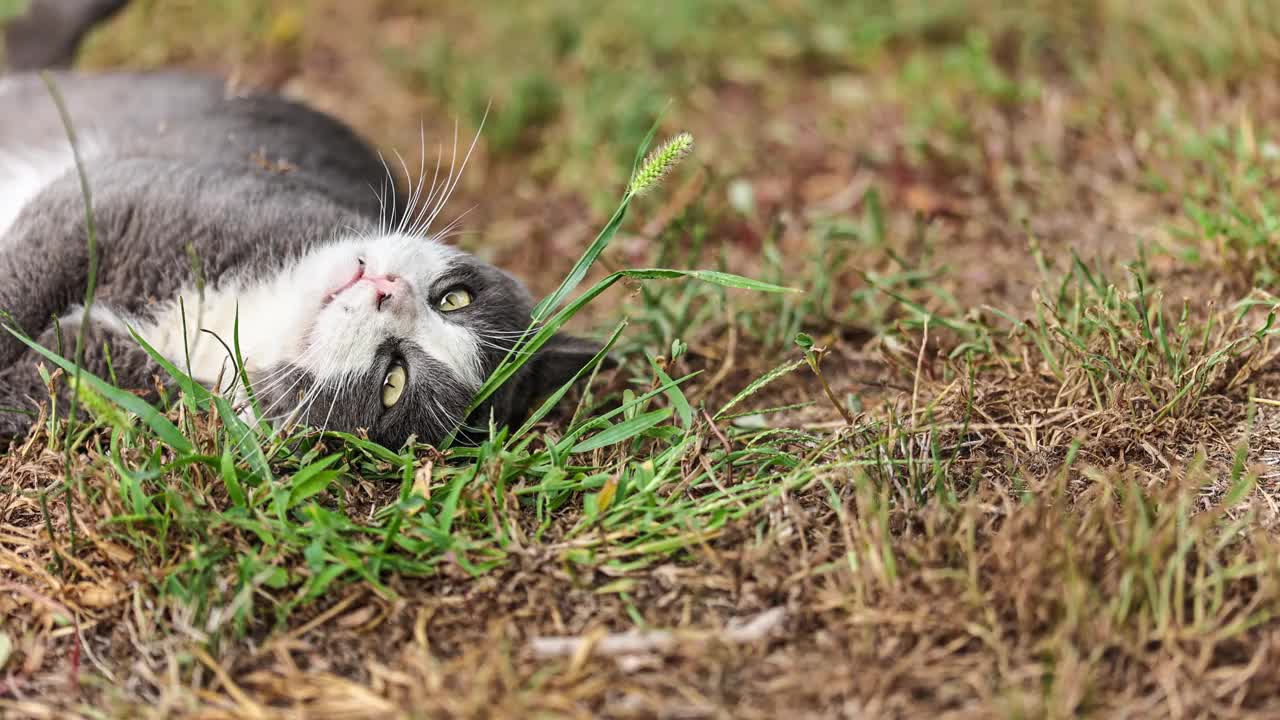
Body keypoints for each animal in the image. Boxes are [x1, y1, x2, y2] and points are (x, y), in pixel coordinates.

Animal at [0, 2, 601, 445]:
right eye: (456, 298)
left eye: (393, 382)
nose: (389, 290)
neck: (253, 314)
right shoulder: (117, 201)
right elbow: (24, 283)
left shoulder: (141, 376)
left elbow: (48, 385)